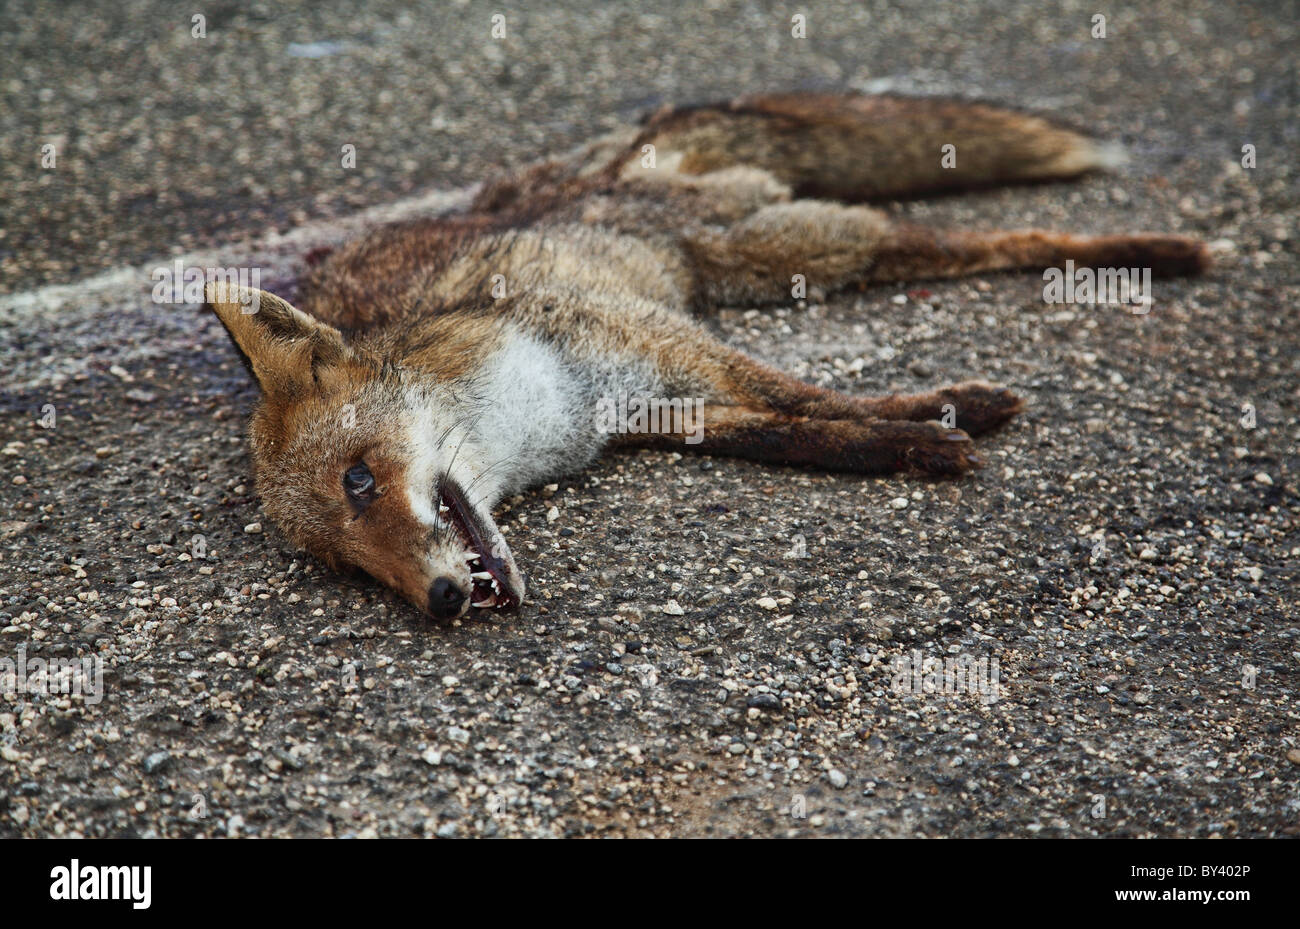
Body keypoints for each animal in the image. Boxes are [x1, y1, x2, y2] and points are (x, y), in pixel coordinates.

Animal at [203, 92, 1211, 622]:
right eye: (347, 566)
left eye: (360, 482)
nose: (442, 599)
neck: (543, 421)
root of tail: (589, 171)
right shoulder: (664, 409)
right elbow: (805, 434)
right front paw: (917, 442)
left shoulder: (657, 340)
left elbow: (815, 397)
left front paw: (943, 417)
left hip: (777, 251)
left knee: (1001, 239)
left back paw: (1156, 251)